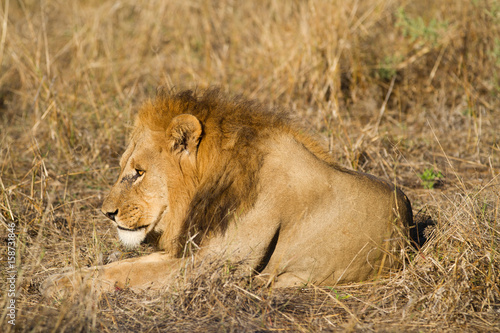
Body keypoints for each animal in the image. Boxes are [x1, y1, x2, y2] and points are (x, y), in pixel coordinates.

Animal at [41, 88, 412, 296]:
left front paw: (58, 286)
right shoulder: (190, 247)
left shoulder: (206, 268)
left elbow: (131, 272)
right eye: (123, 169)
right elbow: (125, 265)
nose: (107, 213)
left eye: (138, 173)